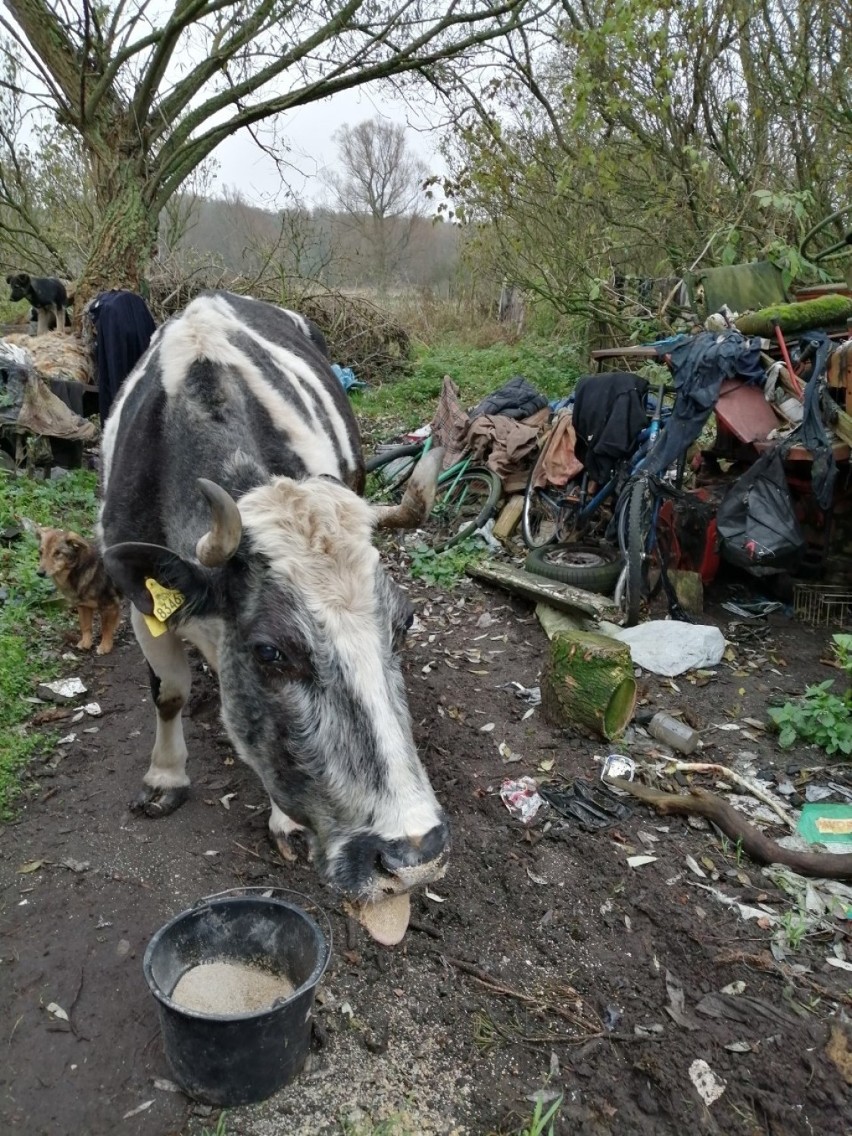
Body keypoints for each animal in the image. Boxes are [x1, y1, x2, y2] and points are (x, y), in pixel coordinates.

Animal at [38, 524, 123, 654]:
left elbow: (106, 627)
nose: (40, 573)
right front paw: (86, 642)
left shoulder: (109, 605)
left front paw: (105, 645)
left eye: (57, 553)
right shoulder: (83, 605)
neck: (80, 568)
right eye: (40, 552)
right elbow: (85, 626)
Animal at [98, 290, 447, 940]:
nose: (413, 855)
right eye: (271, 652)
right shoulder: (140, 604)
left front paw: (286, 822)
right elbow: (169, 694)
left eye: (404, 623)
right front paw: (164, 778)